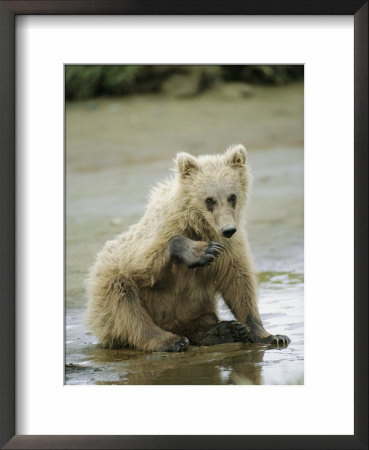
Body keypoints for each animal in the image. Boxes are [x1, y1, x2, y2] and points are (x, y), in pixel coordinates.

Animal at [85, 144, 288, 352]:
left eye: (232, 196)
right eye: (209, 200)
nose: (228, 229)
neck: (199, 225)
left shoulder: (231, 247)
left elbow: (239, 283)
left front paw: (271, 335)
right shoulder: (156, 235)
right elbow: (144, 264)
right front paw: (203, 251)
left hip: (194, 307)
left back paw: (223, 331)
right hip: (108, 280)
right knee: (125, 307)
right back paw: (171, 341)